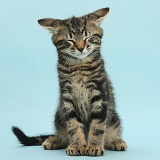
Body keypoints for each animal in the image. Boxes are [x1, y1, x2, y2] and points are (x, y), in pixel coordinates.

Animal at [12, 7, 127, 156]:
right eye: (70, 40)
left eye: (87, 38)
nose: (80, 48)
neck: (79, 67)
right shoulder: (67, 97)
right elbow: (73, 125)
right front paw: (77, 145)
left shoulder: (100, 95)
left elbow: (98, 125)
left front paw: (94, 146)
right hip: (58, 115)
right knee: (63, 134)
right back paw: (54, 140)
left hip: (114, 118)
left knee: (113, 130)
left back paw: (116, 141)